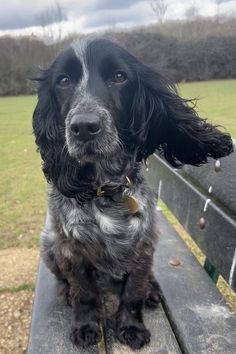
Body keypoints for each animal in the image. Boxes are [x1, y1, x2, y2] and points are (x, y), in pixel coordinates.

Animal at [32, 37, 233, 350]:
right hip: (48, 243)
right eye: (63, 81)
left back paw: (152, 292)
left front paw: (131, 327)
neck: (103, 189)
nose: (84, 127)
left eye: (119, 77)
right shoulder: (71, 249)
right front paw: (85, 326)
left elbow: (133, 292)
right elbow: (84, 293)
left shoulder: (142, 247)